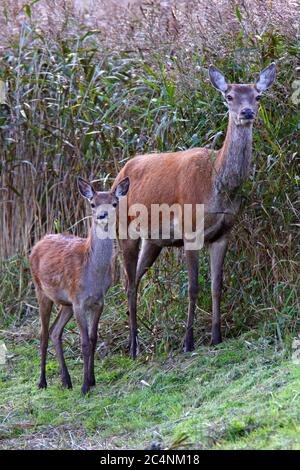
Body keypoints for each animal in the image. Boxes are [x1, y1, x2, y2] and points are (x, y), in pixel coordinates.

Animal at [29, 176, 130, 392]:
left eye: (114, 203)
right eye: (93, 203)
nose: (102, 215)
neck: (92, 273)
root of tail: (37, 244)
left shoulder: (98, 301)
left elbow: (93, 339)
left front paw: (91, 380)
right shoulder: (79, 301)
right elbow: (83, 342)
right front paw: (84, 387)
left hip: (65, 303)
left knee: (55, 331)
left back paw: (66, 381)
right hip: (41, 290)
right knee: (43, 334)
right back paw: (42, 382)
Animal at [113, 62, 276, 356]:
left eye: (257, 96)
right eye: (229, 96)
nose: (246, 112)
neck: (215, 186)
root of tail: (118, 174)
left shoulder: (223, 233)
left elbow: (216, 286)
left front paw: (216, 336)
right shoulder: (189, 230)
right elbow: (193, 287)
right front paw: (188, 342)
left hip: (154, 241)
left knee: (133, 281)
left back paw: (135, 340)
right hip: (124, 230)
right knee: (128, 282)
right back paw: (133, 347)